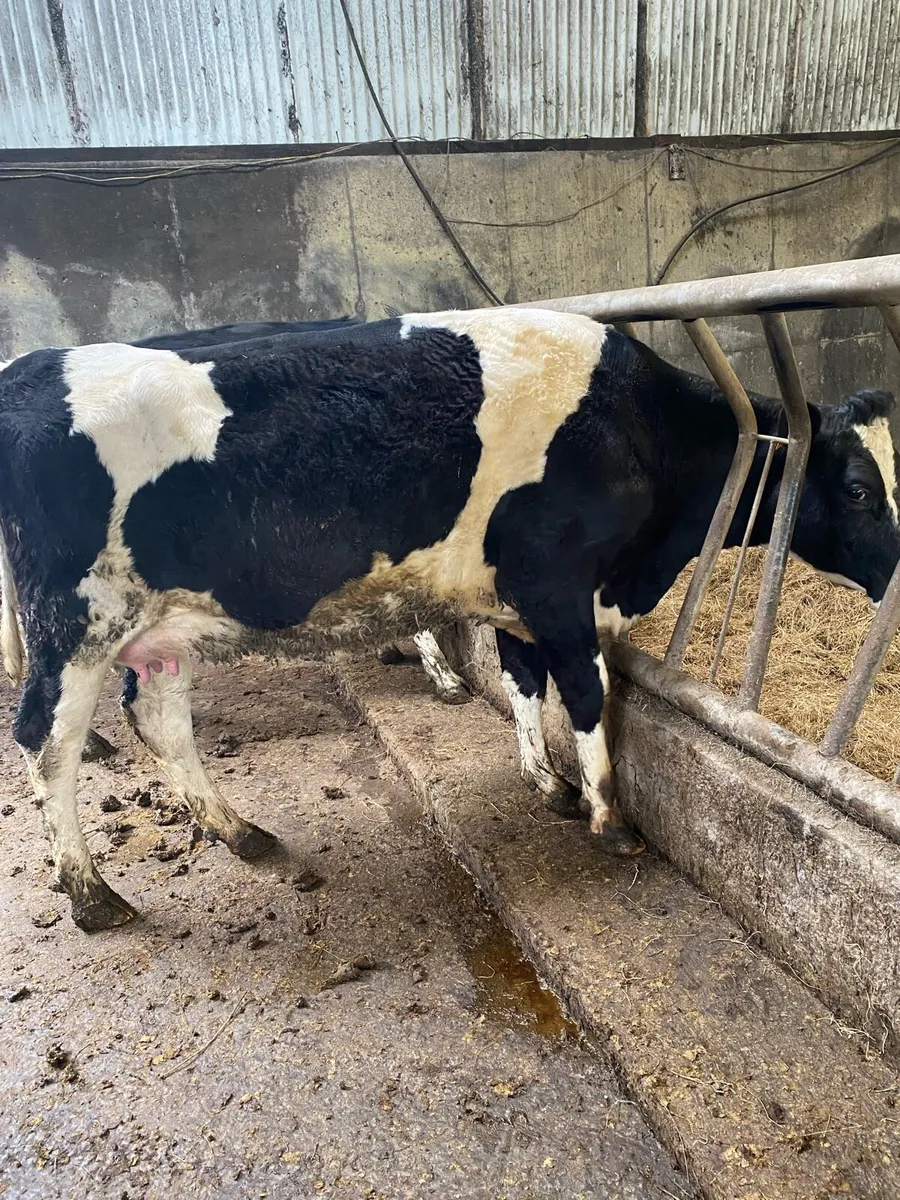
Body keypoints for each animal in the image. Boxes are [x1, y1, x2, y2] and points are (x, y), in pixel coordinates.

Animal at [0, 308, 897, 932]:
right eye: (860, 489)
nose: (898, 572)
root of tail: (32, 366)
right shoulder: (556, 583)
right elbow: (584, 692)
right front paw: (608, 816)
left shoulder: (518, 596)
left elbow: (523, 680)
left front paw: (545, 780)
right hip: (76, 624)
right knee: (47, 742)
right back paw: (91, 895)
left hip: (159, 630)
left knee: (159, 718)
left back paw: (240, 831)